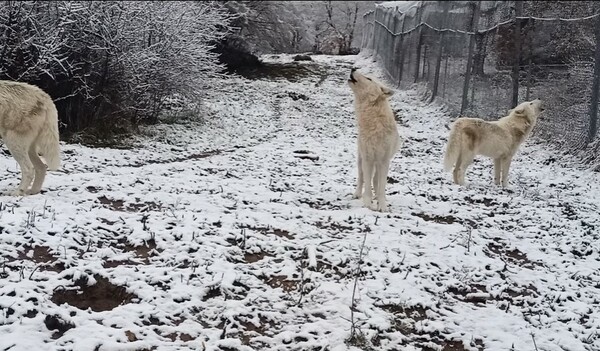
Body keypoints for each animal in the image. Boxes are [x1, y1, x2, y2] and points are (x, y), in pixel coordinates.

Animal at [346, 68, 404, 212]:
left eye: (369, 78)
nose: (353, 68)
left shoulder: (384, 161)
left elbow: (381, 186)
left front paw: (382, 205)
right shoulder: (368, 159)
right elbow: (367, 184)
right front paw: (367, 204)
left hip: (379, 163)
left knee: (376, 180)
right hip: (361, 159)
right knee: (361, 178)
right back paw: (357, 194)